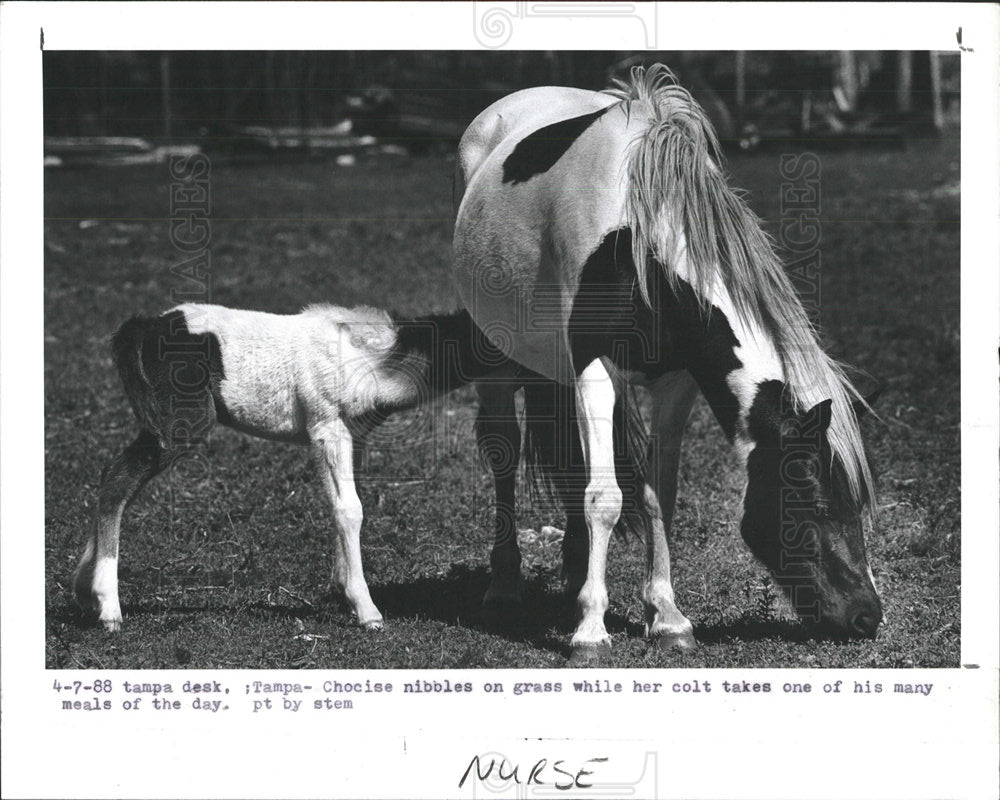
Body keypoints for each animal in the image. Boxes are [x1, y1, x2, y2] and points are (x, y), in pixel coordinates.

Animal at [73, 300, 508, 632]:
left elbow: (342, 506)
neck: (369, 354)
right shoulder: (327, 428)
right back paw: (109, 608)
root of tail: (147, 327)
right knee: (119, 480)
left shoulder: (353, 436)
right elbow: (350, 509)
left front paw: (343, 591)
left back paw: (84, 589)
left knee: (111, 477)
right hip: (180, 424)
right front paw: (366, 609)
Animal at [454, 64, 884, 664]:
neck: (642, 242)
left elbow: (659, 493)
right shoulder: (593, 369)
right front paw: (591, 631)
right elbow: (605, 498)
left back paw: (573, 577)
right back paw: (505, 587)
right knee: (504, 453)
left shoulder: (676, 381)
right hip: (496, 357)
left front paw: (667, 617)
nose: (867, 616)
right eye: (813, 502)